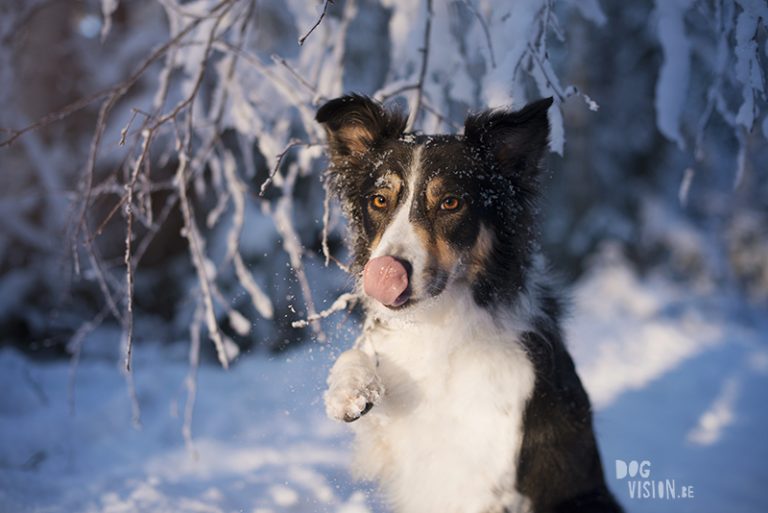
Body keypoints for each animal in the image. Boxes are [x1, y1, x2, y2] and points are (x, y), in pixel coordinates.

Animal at [316, 95, 620, 512]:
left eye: (450, 203)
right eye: (379, 200)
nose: (387, 270)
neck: (437, 323)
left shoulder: (486, 478)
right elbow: (359, 353)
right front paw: (349, 390)